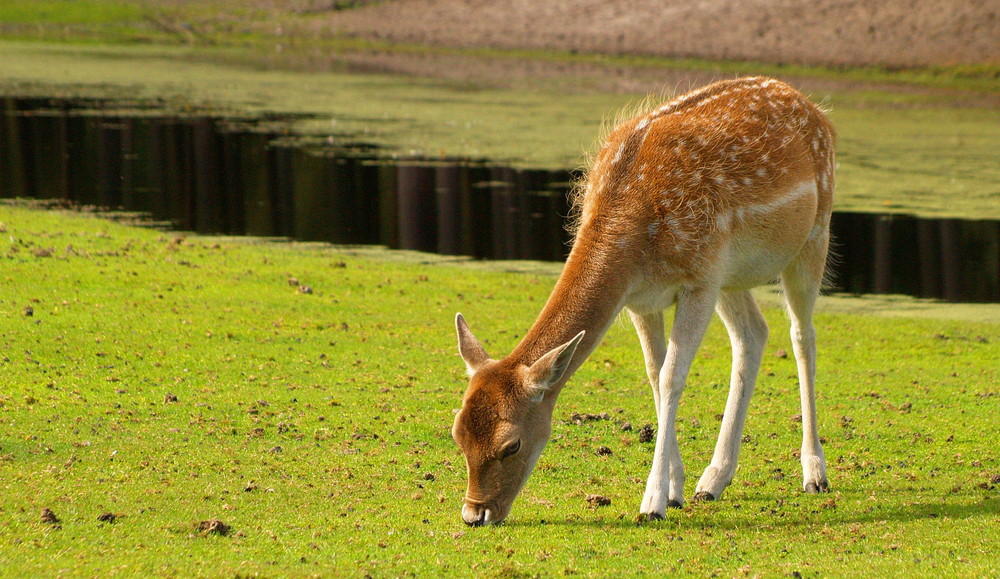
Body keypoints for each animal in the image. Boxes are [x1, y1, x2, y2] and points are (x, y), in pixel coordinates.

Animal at [450, 76, 832, 524]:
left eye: (512, 444)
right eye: (457, 433)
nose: (475, 515)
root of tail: (813, 107)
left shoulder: (699, 279)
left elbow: (671, 377)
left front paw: (652, 504)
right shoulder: (641, 298)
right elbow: (654, 372)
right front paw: (675, 489)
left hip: (813, 234)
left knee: (802, 336)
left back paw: (815, 473)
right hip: (732, 277)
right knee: (753, 334)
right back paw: (713, 480)